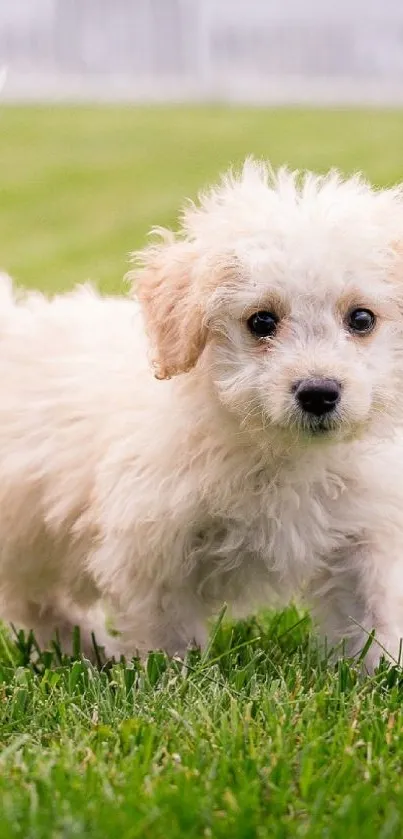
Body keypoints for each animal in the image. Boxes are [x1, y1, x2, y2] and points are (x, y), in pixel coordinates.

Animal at [1, 158, 403, 668]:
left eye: (362, 318)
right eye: (262, 321)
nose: (318, 392)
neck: (278, 452)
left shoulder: (362, 538)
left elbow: (370, 618)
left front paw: (378, 671)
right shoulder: (152, 552)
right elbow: (169, 637)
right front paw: (172, 675)